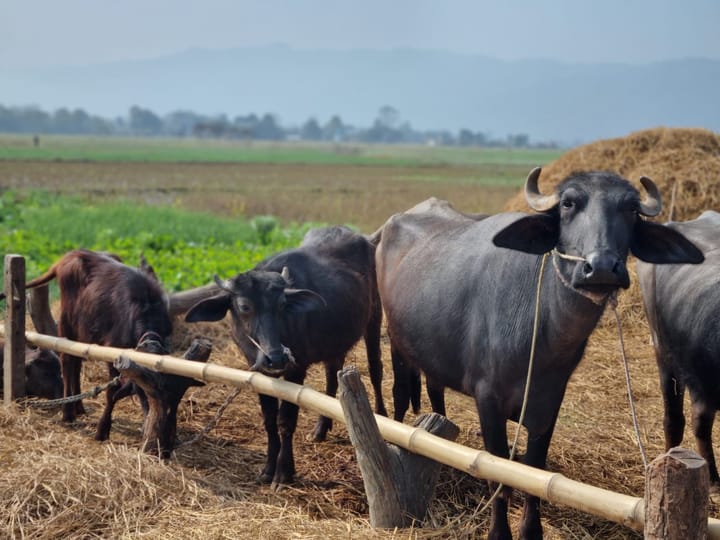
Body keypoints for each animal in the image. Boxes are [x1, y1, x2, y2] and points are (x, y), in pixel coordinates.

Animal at [186, 226, 388, 488]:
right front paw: (267, 469)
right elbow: (269, 419)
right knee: (332, 377)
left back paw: (382, 415)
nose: (276, 358)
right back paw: (320, 429)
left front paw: (283, 472)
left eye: (282, 304)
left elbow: (286, 420)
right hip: (336, 342)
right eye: (244, 306)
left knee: (375, 369)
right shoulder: (260, 372)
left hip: (374, 317)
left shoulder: (296, 370)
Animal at [376, 167, 704, 536]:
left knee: (436, 391)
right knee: (399, 394)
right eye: (568, 203)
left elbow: (534, 470)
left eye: (631, 209)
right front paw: (498, 532)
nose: (602, 267)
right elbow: (497, 473)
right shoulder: (487, 397)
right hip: (396, 342)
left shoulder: (549, 401)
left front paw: (531, 529)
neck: (543, 329)